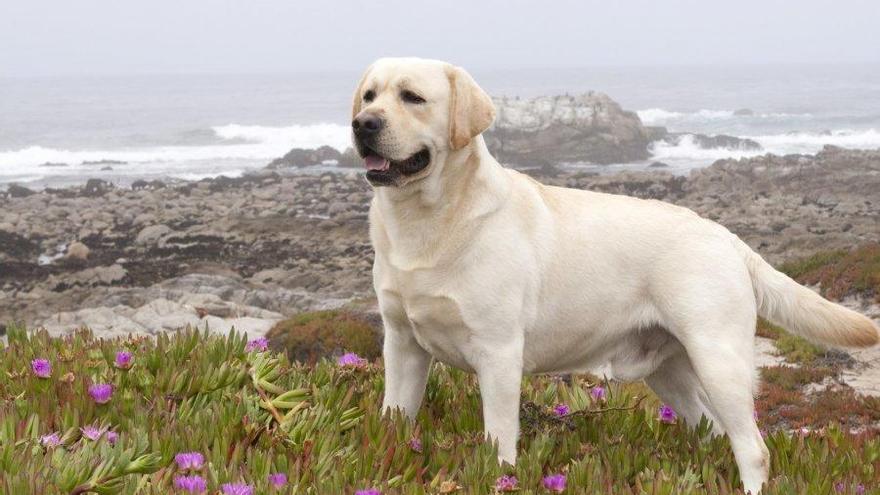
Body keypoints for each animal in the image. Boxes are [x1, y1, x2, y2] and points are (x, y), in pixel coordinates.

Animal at [352, 57, 880, 492]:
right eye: (369, 95)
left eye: (413, 97)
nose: (362, 124)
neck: (427, 222)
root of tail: (726, 236)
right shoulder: (402, 344)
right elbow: (394, 417)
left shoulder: (498, 353)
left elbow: (499, 440)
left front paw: (500, 475)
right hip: (670, 372)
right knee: (712, 430)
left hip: (719, 358)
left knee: (754, 448)